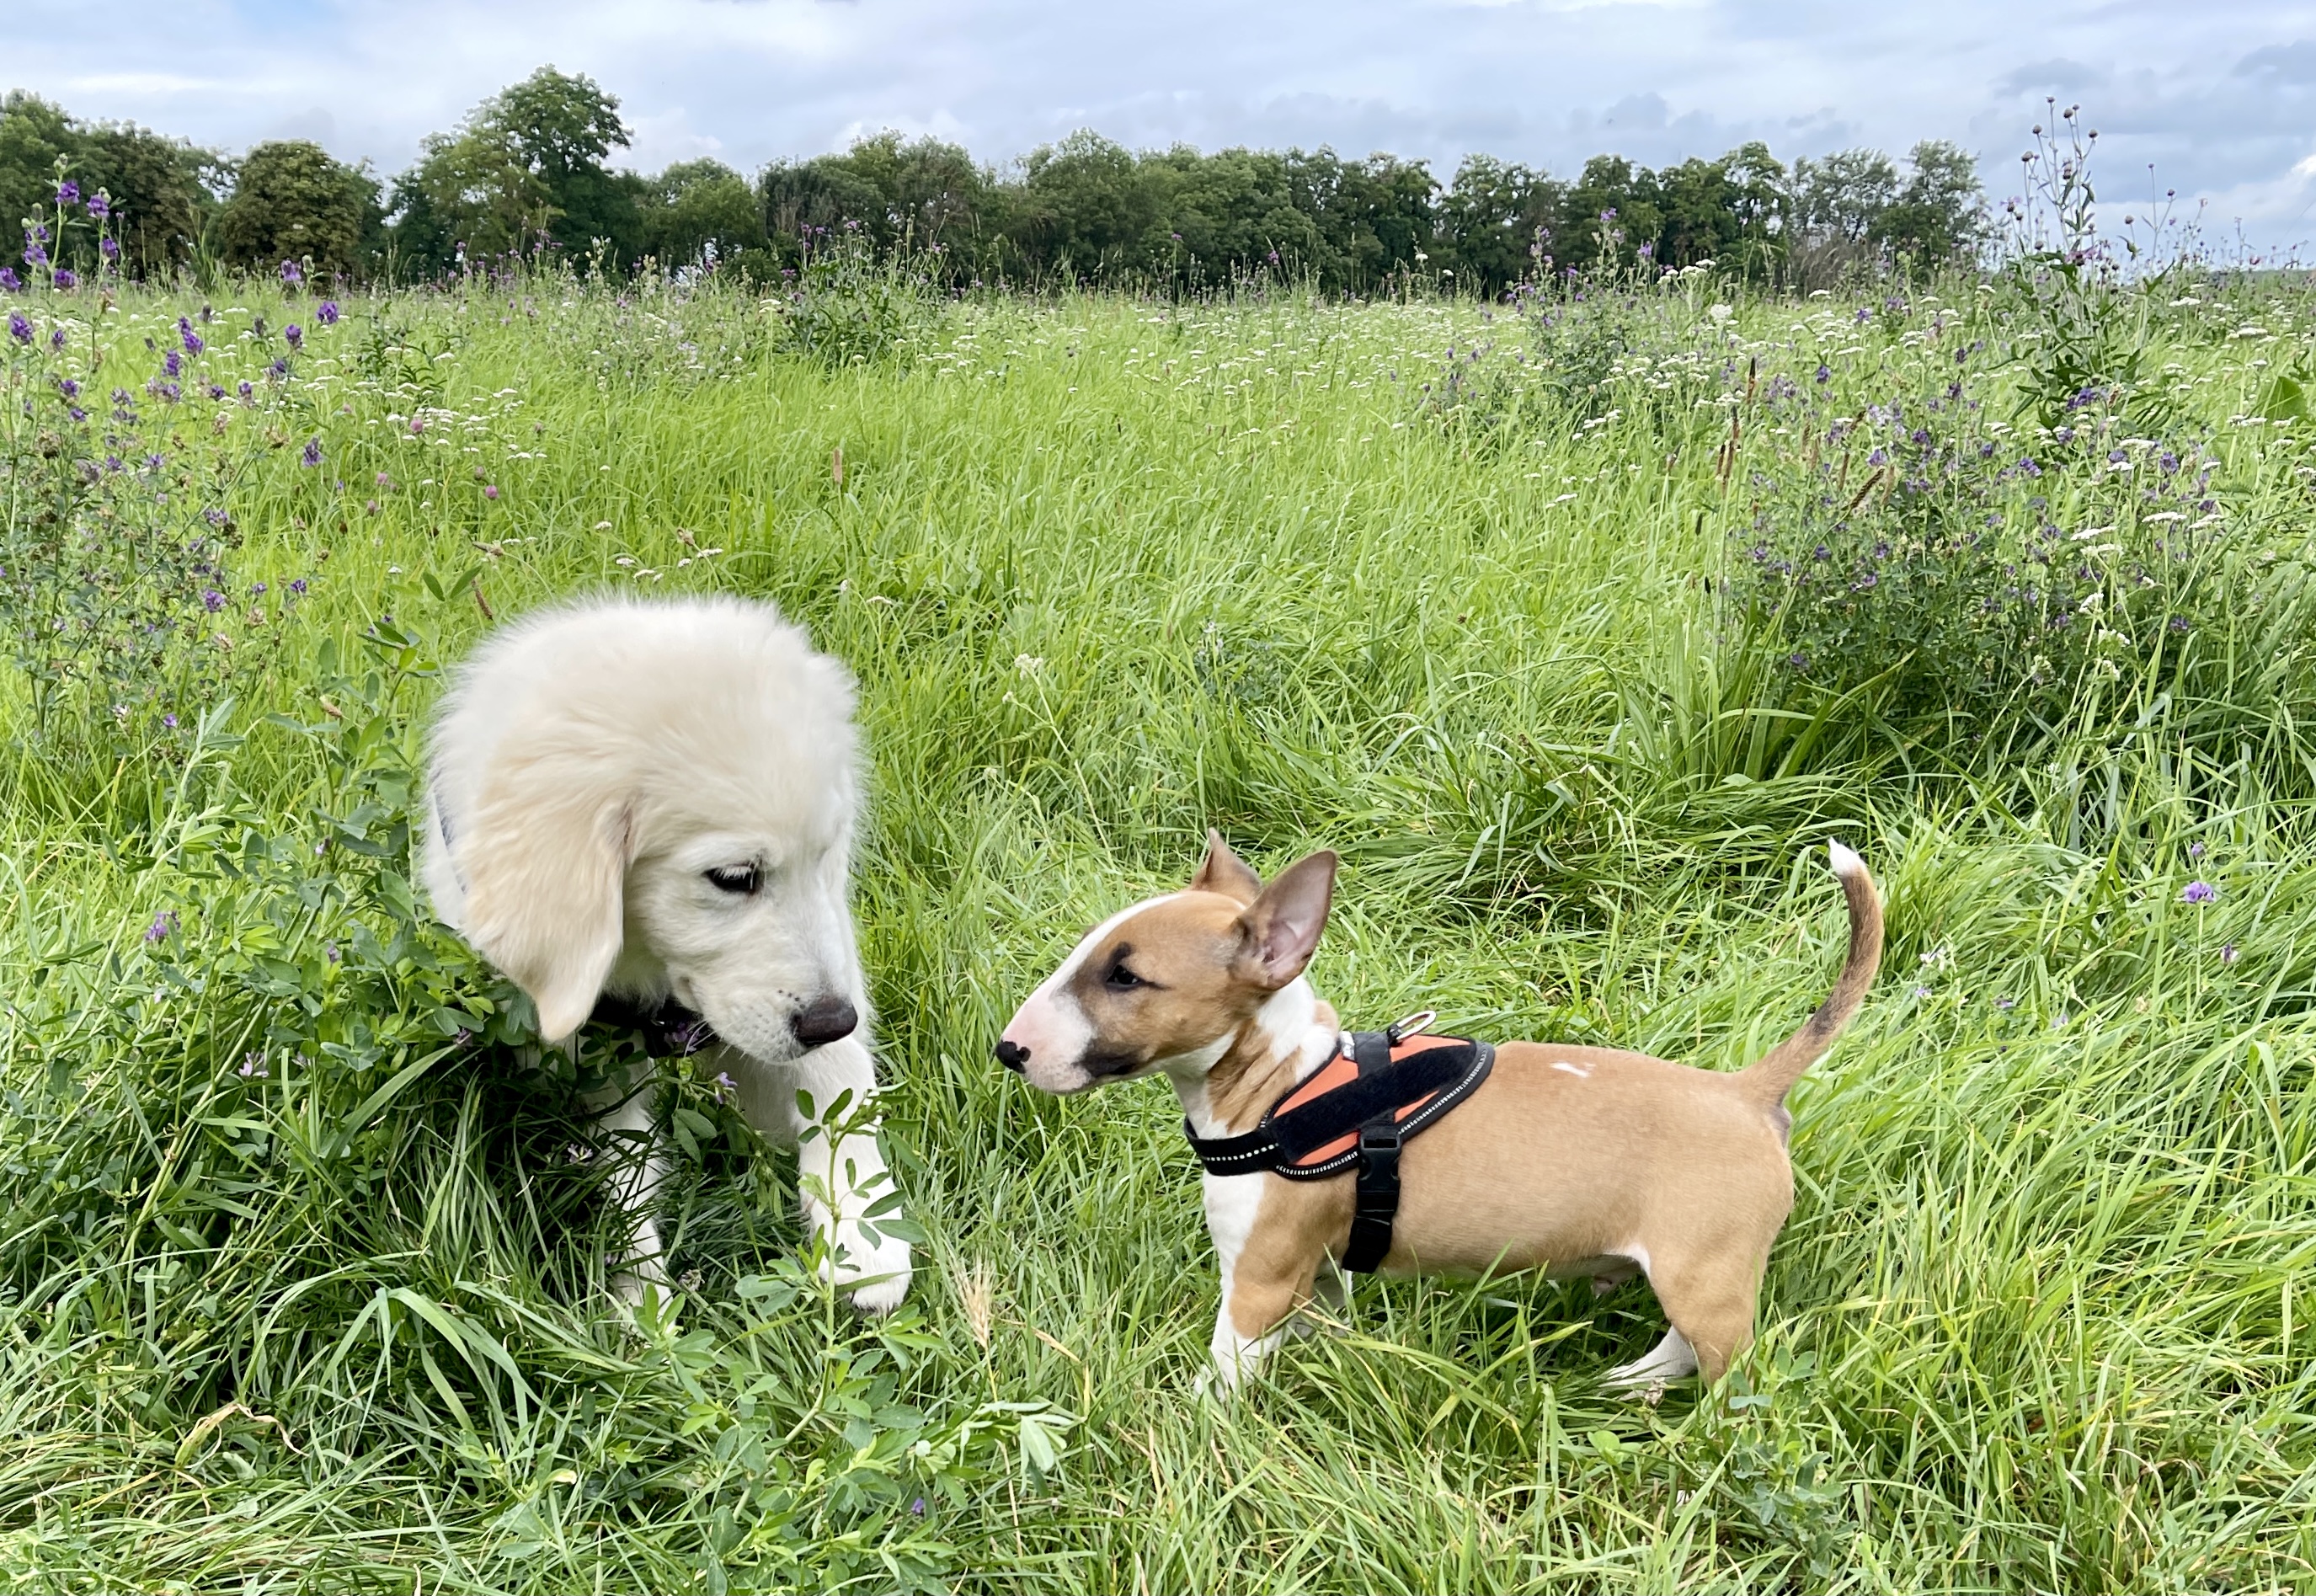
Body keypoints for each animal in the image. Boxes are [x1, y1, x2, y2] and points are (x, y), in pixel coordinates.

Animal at [421, 593, 908, 1306]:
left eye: (825, 855)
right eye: (733, 877)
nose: (831, 1019)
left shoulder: (831, 943)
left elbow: (840, 1085)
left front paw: (863, 1236)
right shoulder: (588, 1054)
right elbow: (622, 1178)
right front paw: (644, 1302)